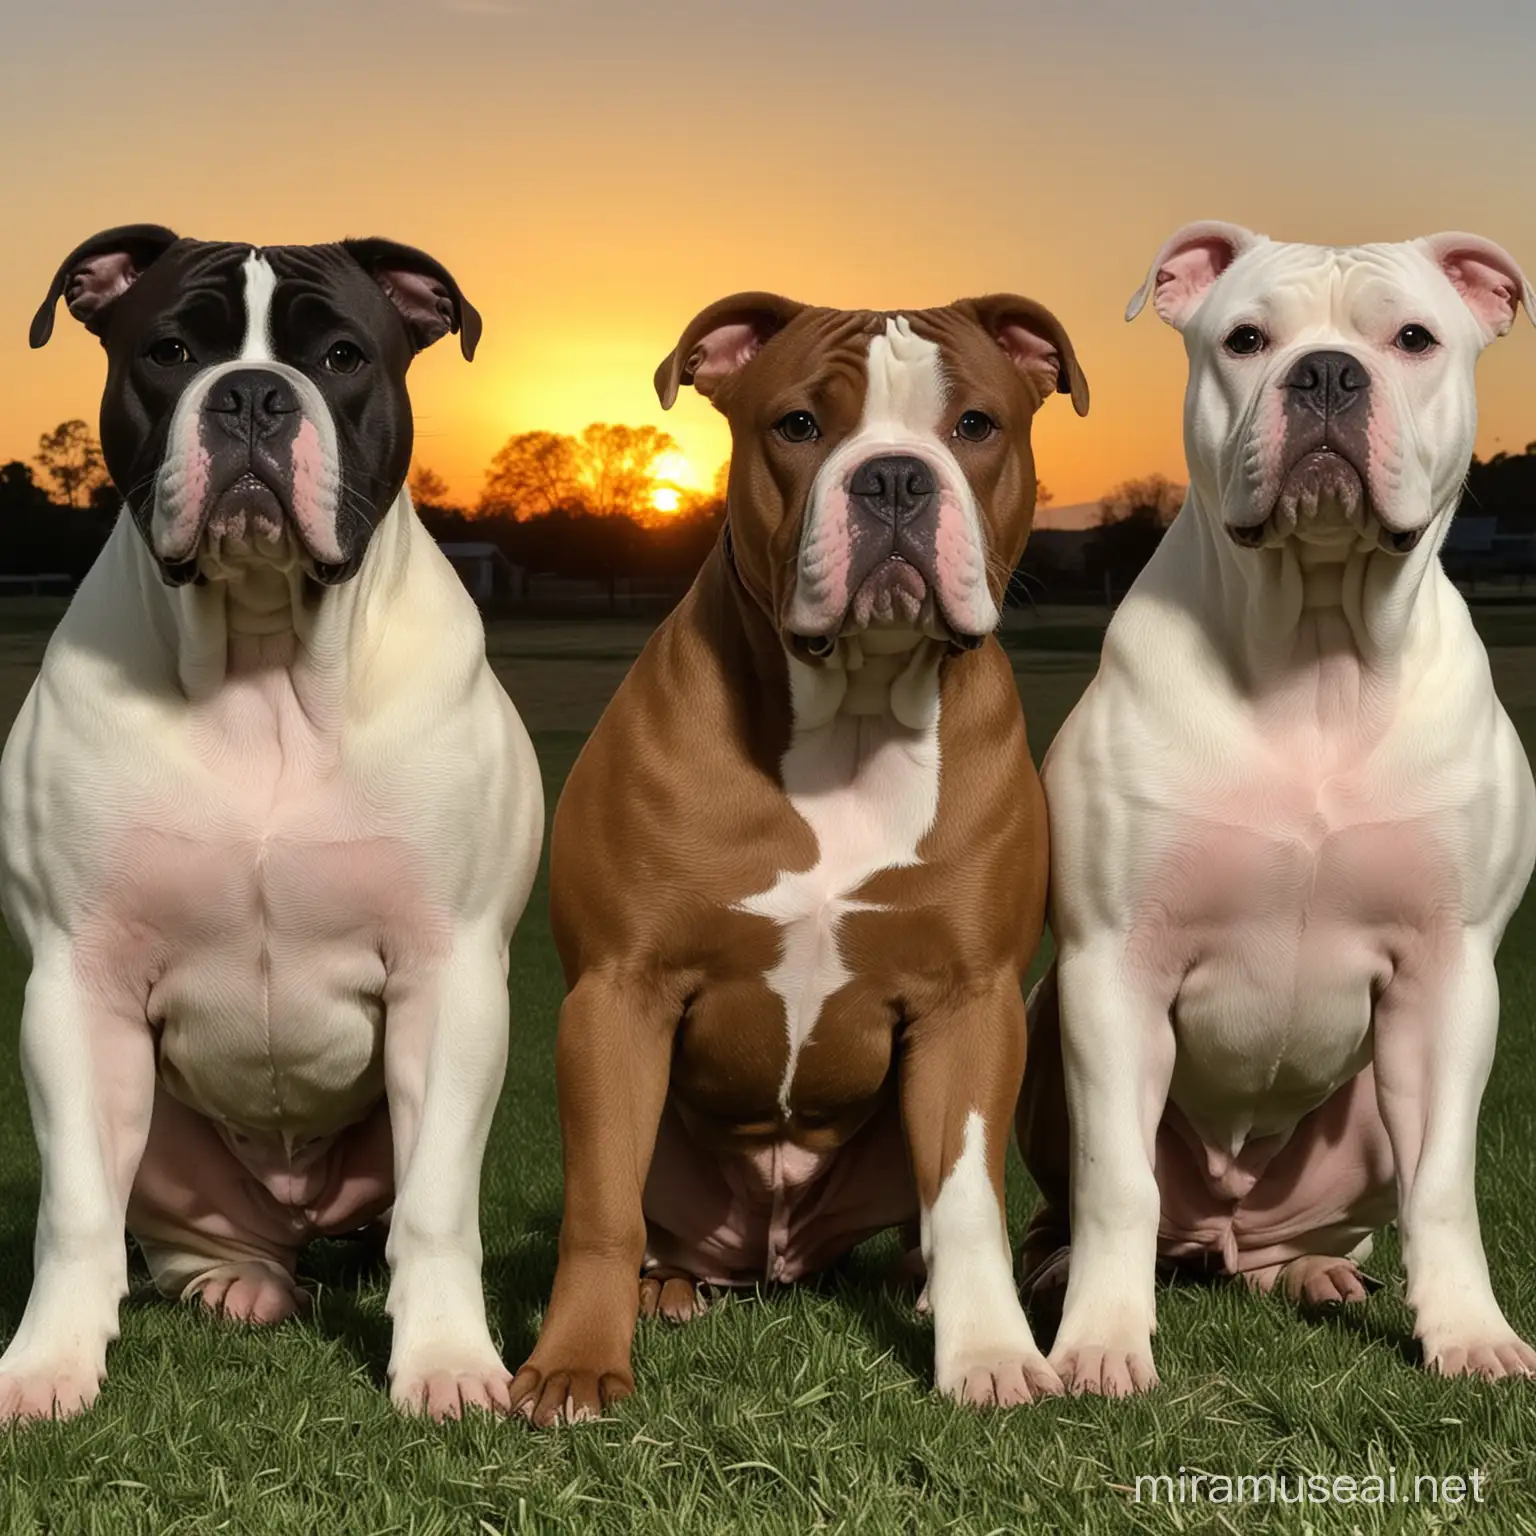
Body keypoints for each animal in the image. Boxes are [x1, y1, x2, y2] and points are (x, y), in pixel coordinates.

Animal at [516, 290, 1093, 1425]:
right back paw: (668, 1289)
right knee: (654, 1225)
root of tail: (777, 1259)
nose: (895, 477)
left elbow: (967, 1198)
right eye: (797, 425)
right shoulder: (615, 994)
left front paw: (991, 1354)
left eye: (976, 424)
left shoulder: (973, 1000)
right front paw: (574, 1367)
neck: (855, 715)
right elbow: (600, 1207)